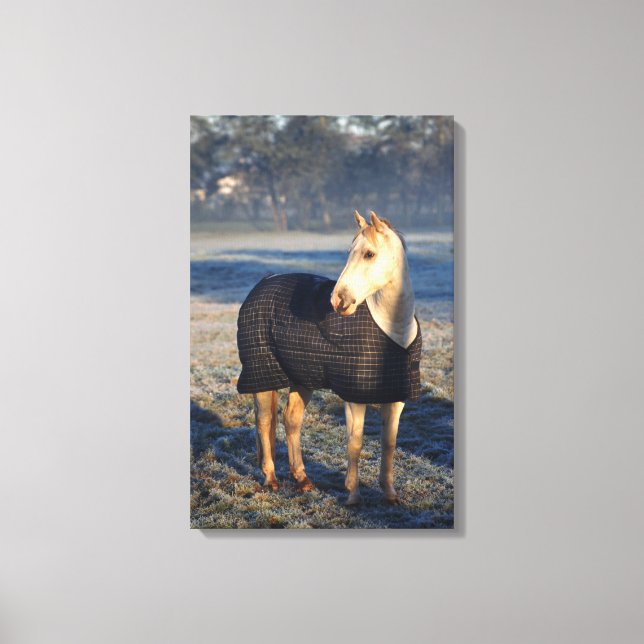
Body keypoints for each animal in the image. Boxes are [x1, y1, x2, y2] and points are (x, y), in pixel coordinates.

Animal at [236, 210, 421, 505]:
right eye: (349, 252)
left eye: (369, 254)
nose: (338, 301)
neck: (392, 329)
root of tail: (262, 284)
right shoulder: (354, 397)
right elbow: (355, 442)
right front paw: (353, 495)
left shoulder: (397, 395)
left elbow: (389, 442)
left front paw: (390, 494)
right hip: (261, 376)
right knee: (264, 422)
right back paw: (271, 478)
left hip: (302, 378)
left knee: (291, 419)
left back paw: (302, 479)